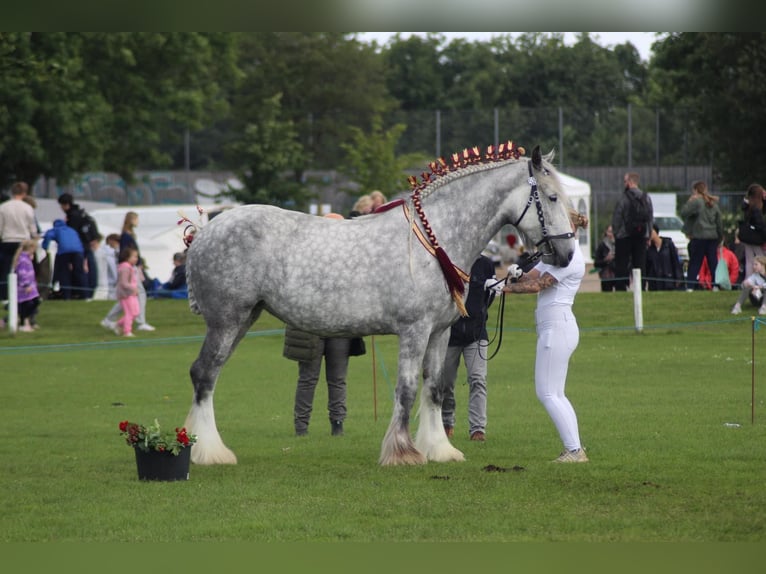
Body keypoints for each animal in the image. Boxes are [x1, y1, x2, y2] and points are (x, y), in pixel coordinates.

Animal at [182, 144, 576, 468]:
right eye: (552, 197)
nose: (568, 252)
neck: (435, 241)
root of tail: (203, 232)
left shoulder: (439, 333)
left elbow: (434, 388)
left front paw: (439, 449)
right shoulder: (414, 330)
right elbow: (407, 388)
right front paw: (402, 453)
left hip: (243, 319)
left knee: (208, 375)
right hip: (226, 321)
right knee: (204, 374)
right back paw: (210, 453)